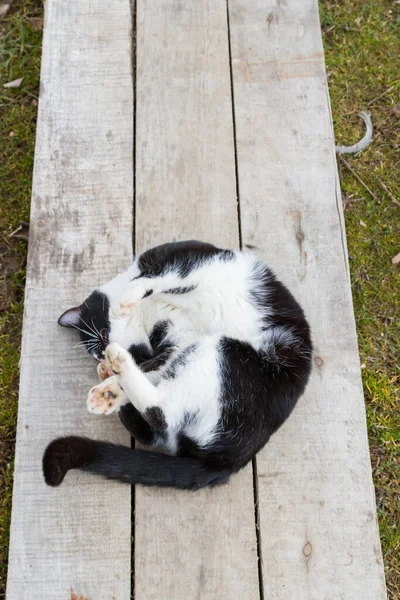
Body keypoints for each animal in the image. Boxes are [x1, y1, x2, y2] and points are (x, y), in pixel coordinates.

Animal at [43, 237, 312, 490]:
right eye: (95, 352)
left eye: (101, 337)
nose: (102, 356)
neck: (149, 313)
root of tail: (228, 461)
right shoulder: (176, 343)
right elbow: (155, 366)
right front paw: (112, 380)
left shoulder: (190, 258)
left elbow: (161, 276)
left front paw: (127, 297)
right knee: (160, 417)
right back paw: (111, 385)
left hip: (235, 357)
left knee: (162, 415)